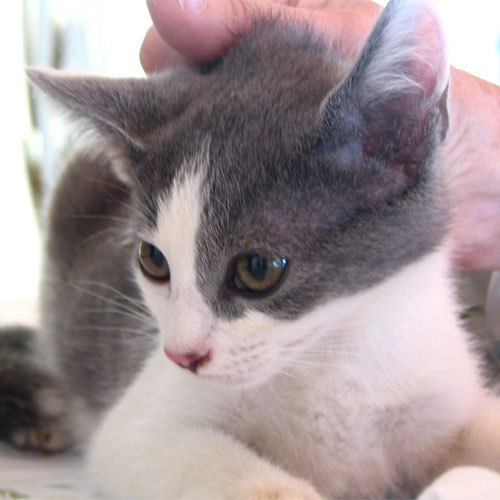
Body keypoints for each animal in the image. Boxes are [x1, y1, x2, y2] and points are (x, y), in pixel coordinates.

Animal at [0, 0, 500, 498]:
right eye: (153, 260)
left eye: (258, 269)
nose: (182, 356)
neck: (331, 354)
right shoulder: (137, 430)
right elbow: (243, 477)